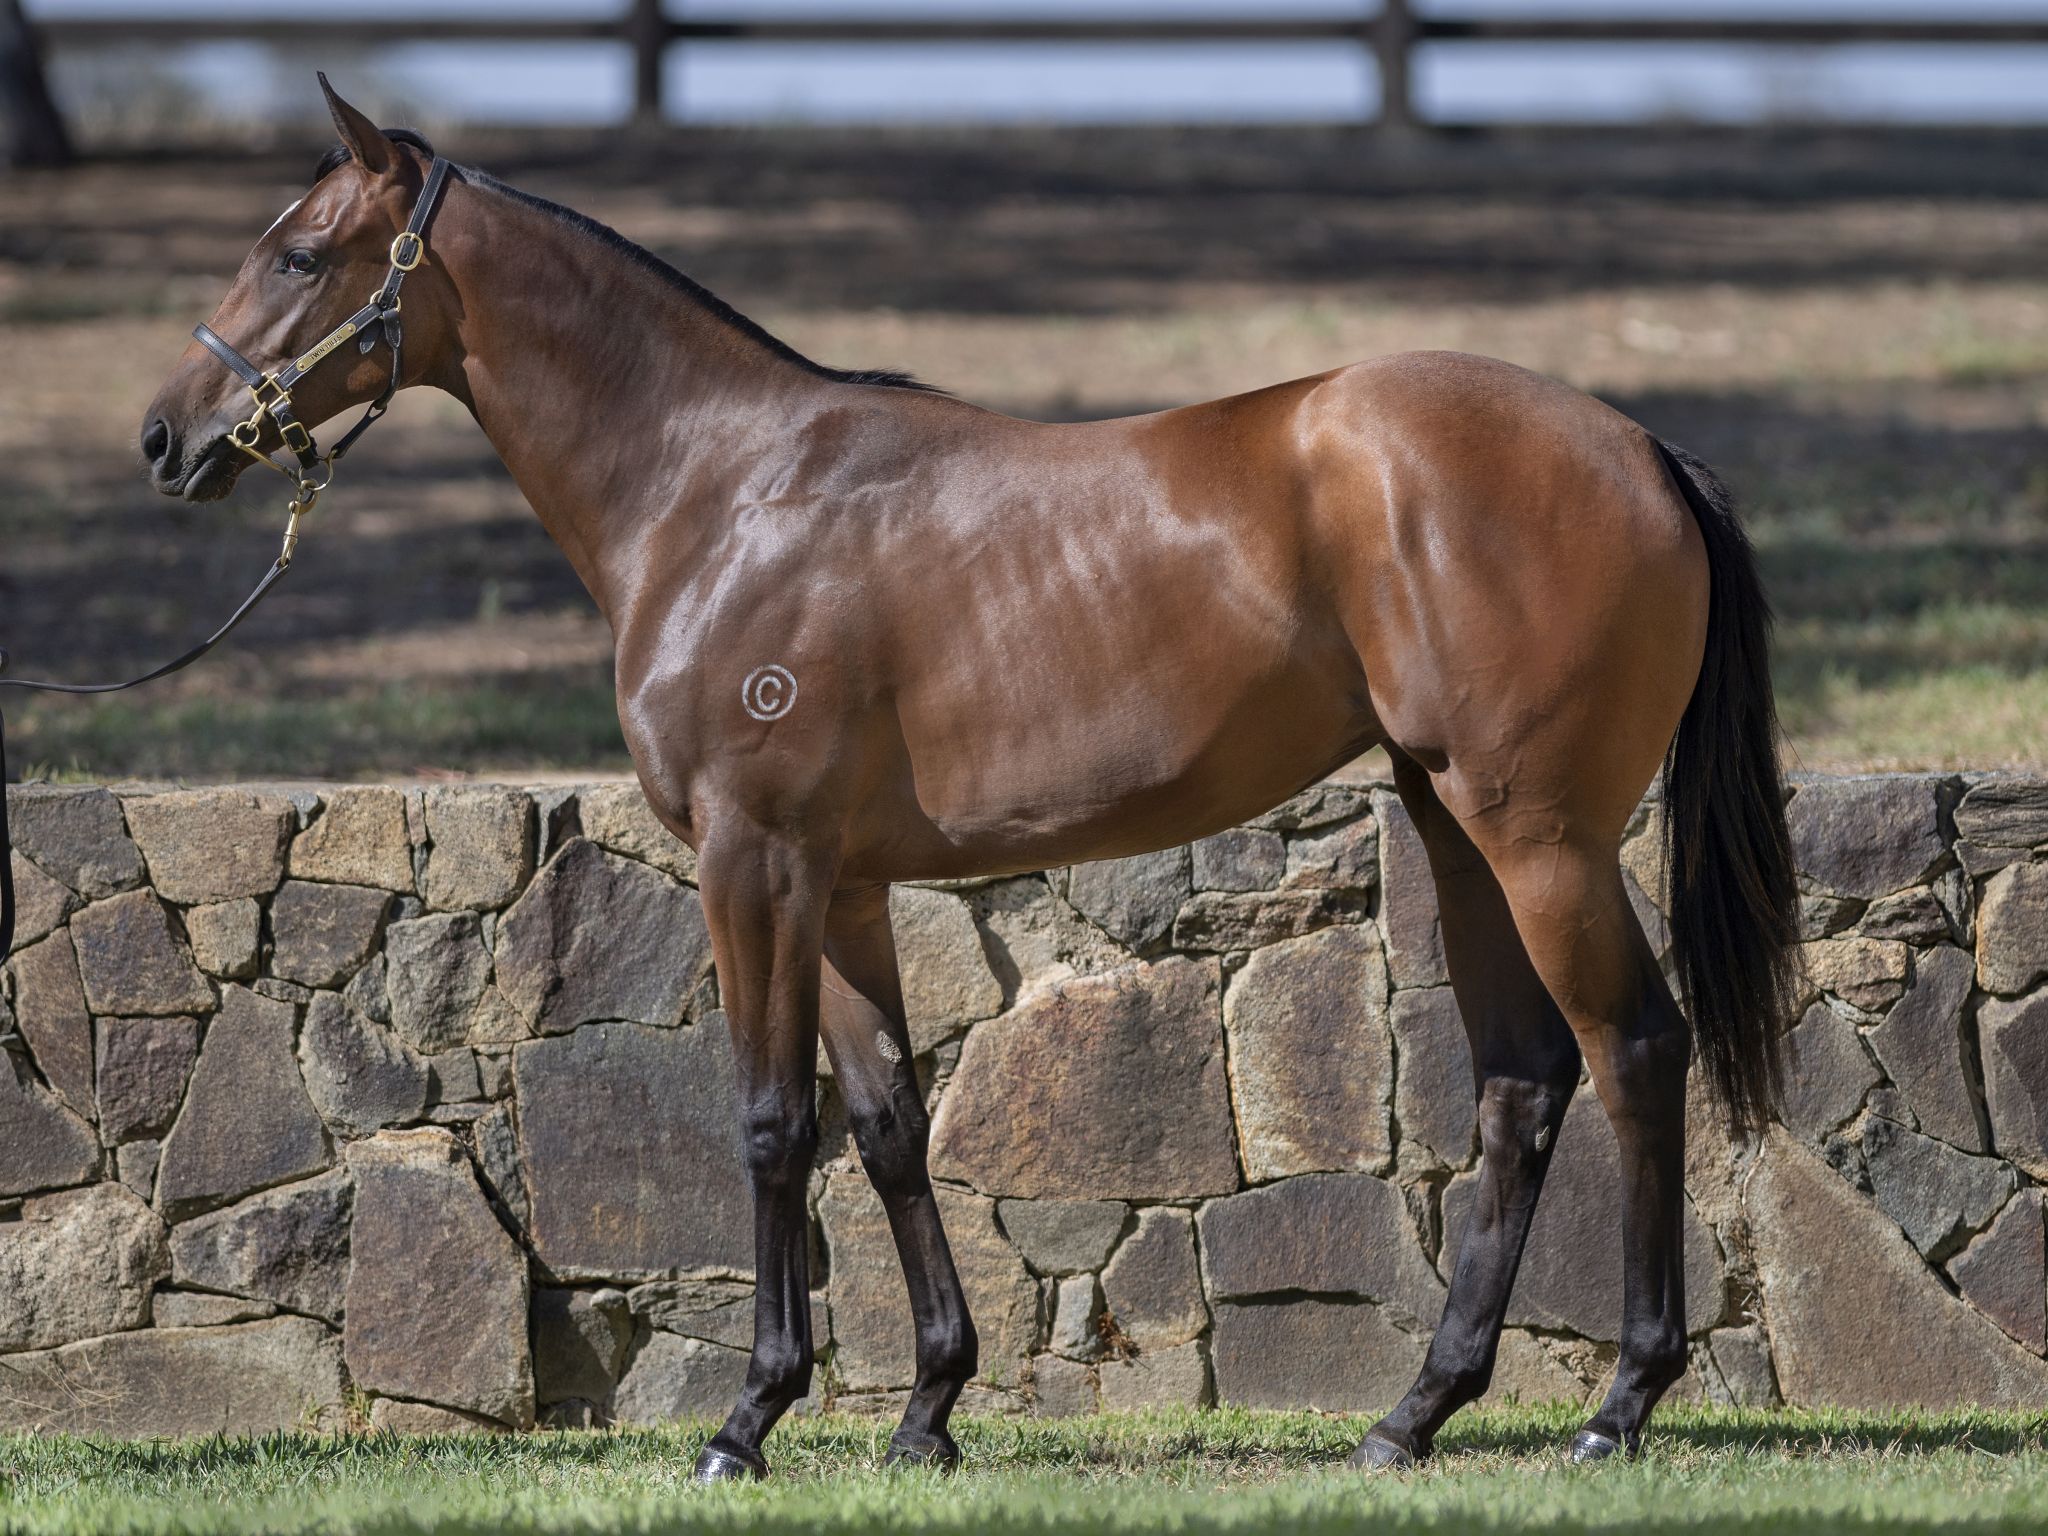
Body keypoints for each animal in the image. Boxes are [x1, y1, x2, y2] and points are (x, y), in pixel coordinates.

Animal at [138, 78, 1799, 1479]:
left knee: (1636, 1053)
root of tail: (1641, 445)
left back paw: (1617, 1406)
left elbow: (769, 1121)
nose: (168, 437)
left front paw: (747, 1420)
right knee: (1524, 1083)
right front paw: (928, 1409)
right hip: (1455, 829)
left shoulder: (754, 859)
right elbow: (884, 1127)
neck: (722, 493)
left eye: (299, 254)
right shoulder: (842, 883)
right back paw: (1412, 1415)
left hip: (1540, 836)